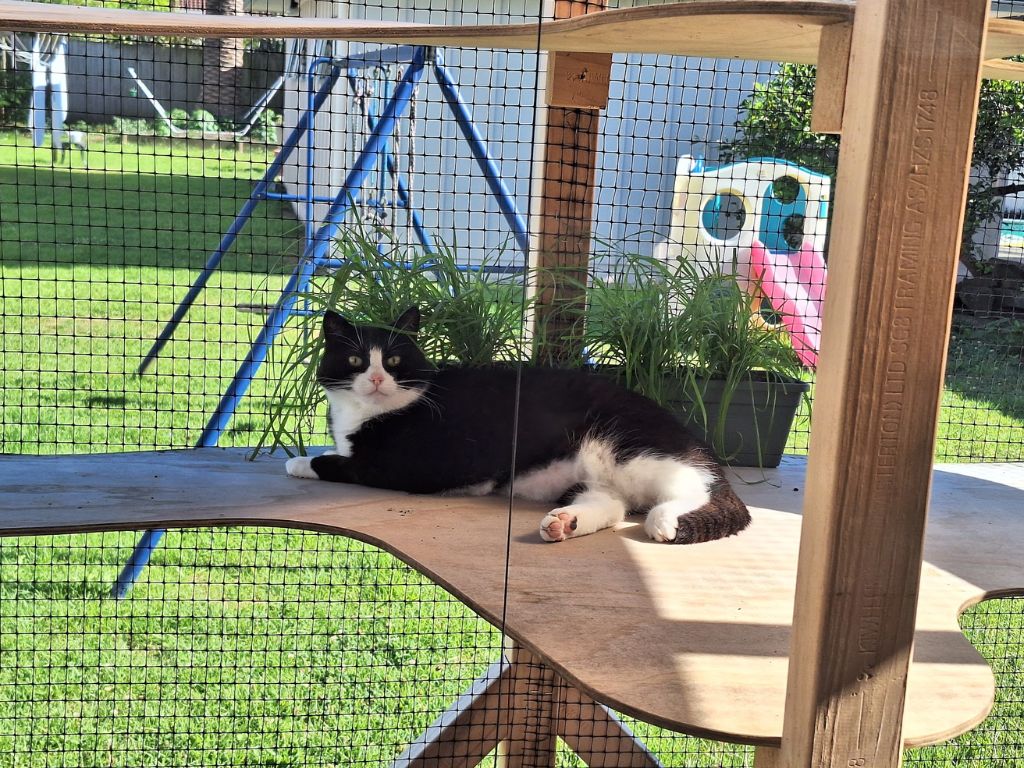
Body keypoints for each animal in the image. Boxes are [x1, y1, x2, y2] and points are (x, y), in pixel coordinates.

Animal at [284, 309, 749, 548]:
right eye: (355, 360)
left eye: (395, 361)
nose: (378, 379)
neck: (369, 413)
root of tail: (696, 444)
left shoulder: (409, 468)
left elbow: (341, 462)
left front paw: (300, 461)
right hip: (598, 476)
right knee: (612, 505)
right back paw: (564, 523)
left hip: (626, 446)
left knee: (694, 489)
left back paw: (665, 519)